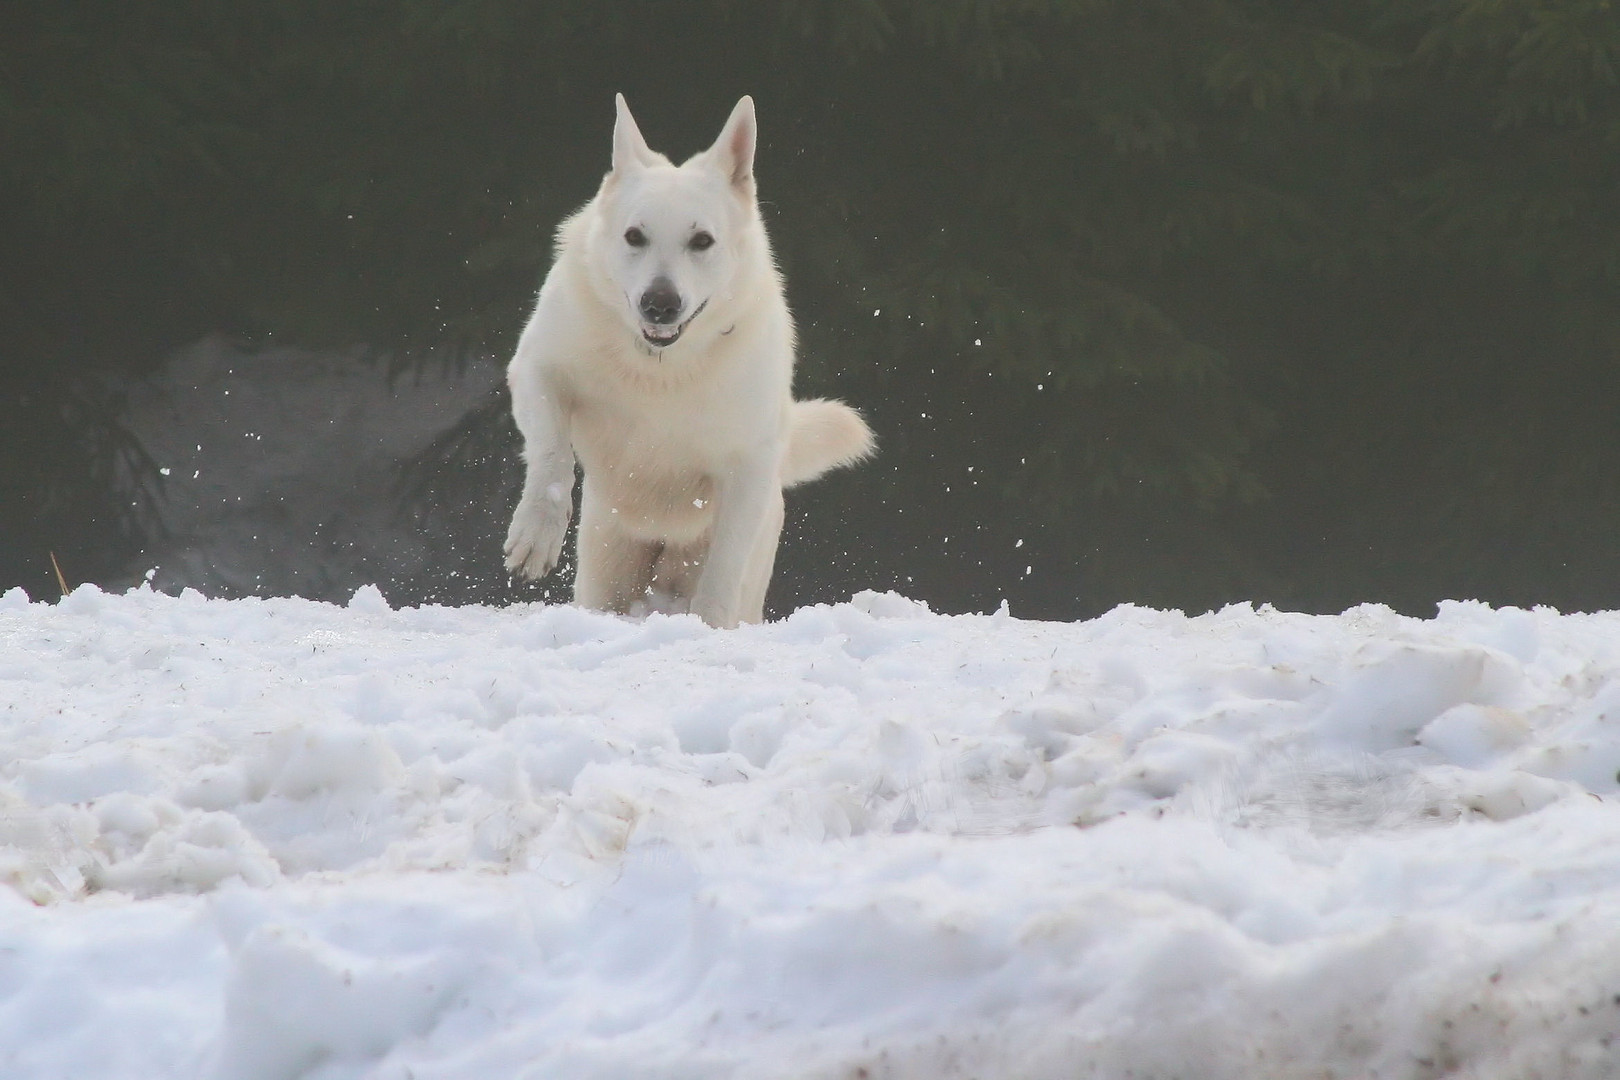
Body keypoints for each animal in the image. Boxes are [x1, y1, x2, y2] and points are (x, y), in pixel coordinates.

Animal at [502, 97, 874, 628]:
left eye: (701, 242)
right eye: (634, 236)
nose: (660, 304)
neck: (659, 368)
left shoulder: (749, 464)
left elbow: (724, 566)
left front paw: (709, 626)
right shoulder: (538, 370)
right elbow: (552, 456)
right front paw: (537, 534)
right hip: (607, 568)